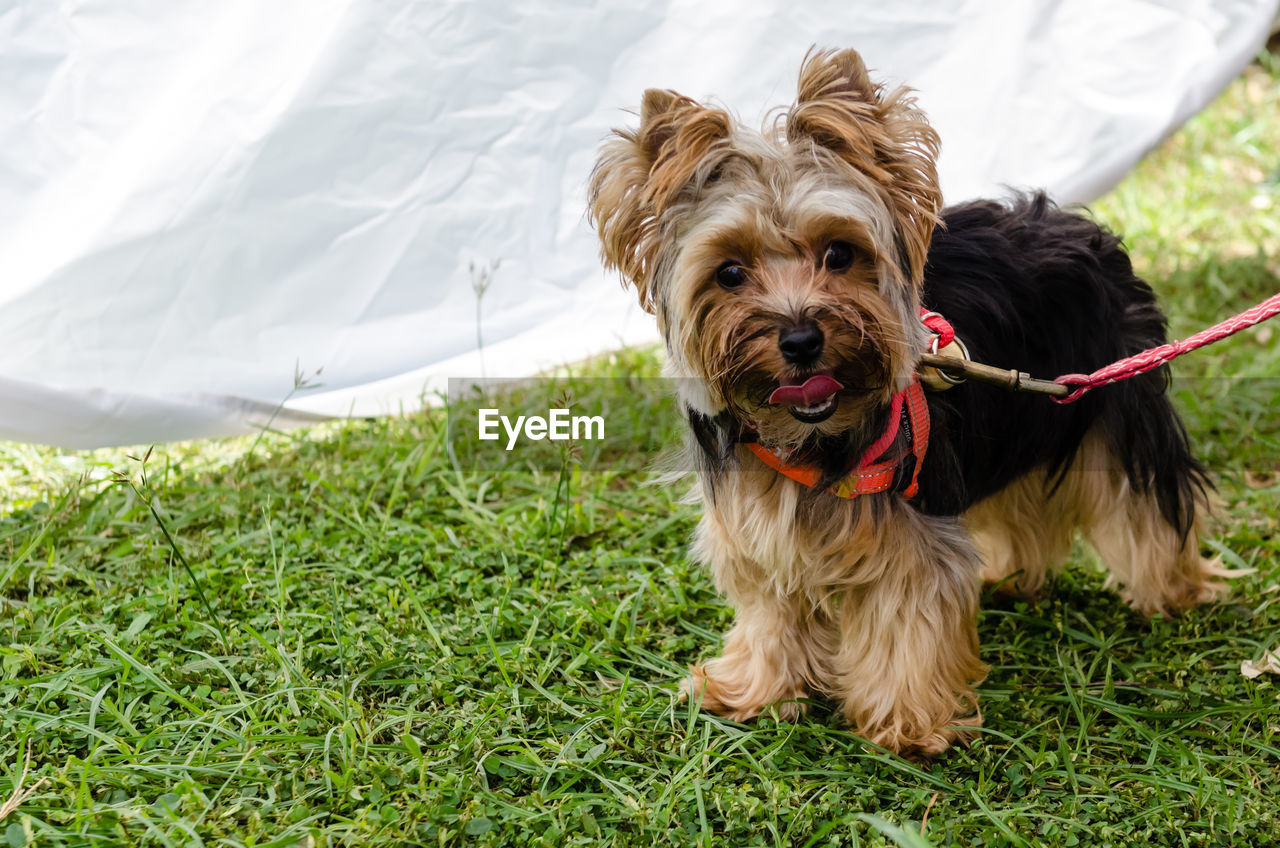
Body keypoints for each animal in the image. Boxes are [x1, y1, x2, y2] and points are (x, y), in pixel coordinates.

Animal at [586, 48, 1223, 758]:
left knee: (1147, 501)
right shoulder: (757, 523)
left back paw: (1176, 590)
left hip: (1117, 395)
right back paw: (1016, 575)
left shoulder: (910, 537)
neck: (813, 435)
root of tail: (1073, 221)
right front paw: (756, 690)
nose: (801, 339)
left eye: (840, 253)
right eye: (729, 272)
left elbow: (906, 617)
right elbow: (770, 610)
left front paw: (909, 722)